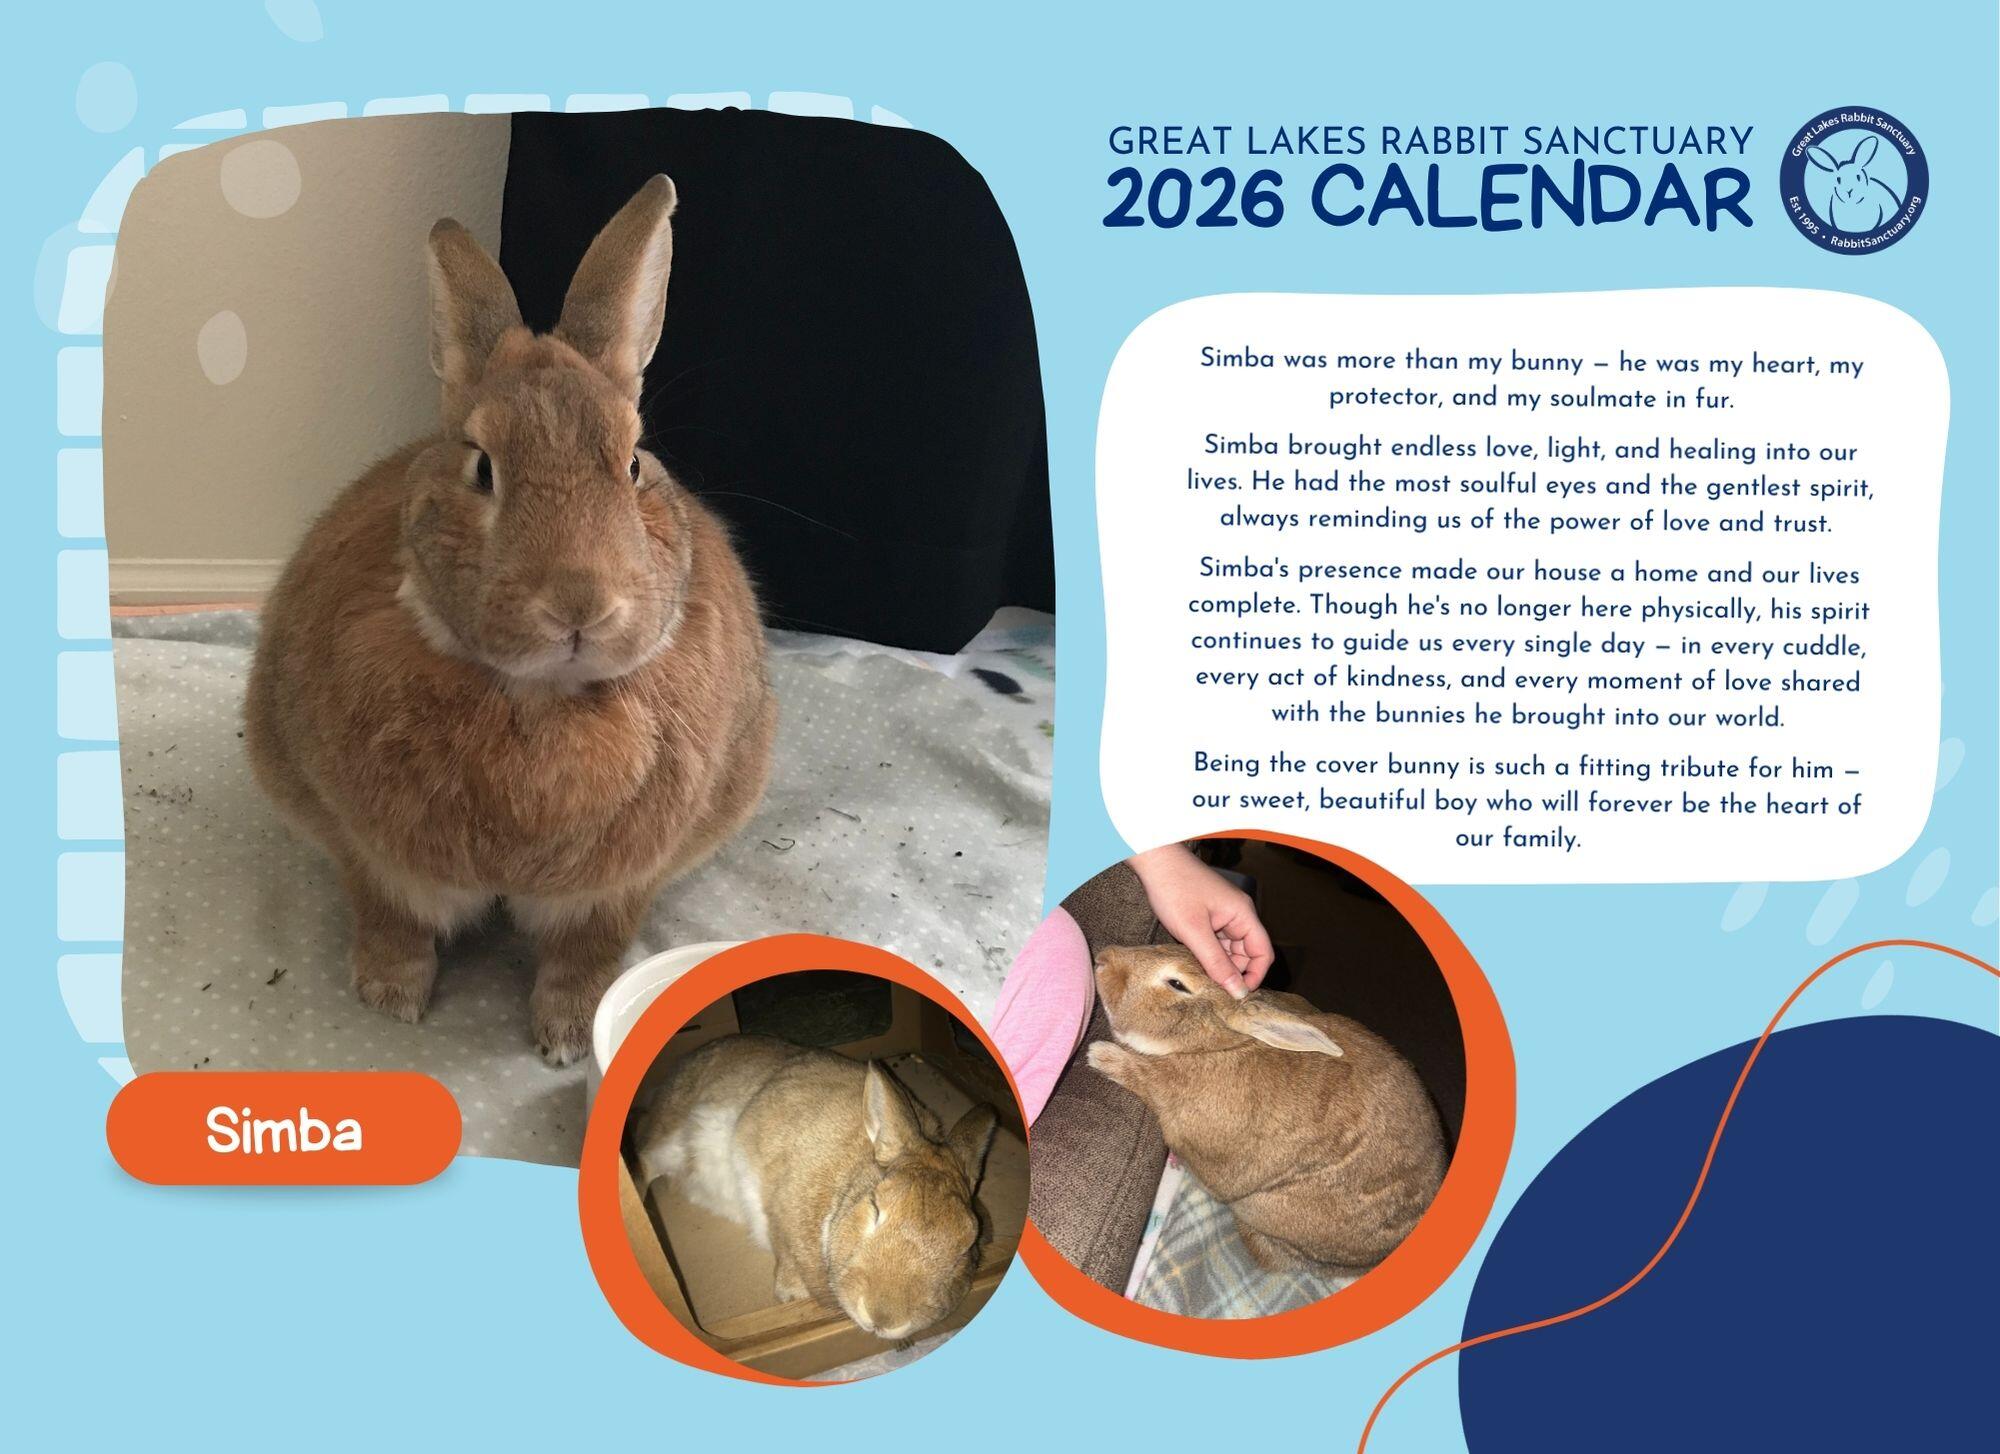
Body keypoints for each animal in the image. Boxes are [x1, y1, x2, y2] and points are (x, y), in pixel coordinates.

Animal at [245, 175, 777, 1066]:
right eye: (481, 466)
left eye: (635, 464)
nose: (579, 602)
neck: (539, 699)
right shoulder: (374, 857)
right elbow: (391, 921)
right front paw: (390, 1000)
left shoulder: (616, 889)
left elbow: (588, 953)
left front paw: (567, 1037)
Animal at [636, 1034, 999, 1342]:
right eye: (875, 1208)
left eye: (966, 1246)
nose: (884, 1318)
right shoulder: (779, 1206)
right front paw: (790, 1291)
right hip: (671, 1137)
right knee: (644, 1161)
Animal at [1086, 944, 1445, 1275]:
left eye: (1177, 984)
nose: (1102, 958)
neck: (1218, 1044)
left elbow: (1144, 1075)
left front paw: (1100, 1055)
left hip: (1260, 1206)